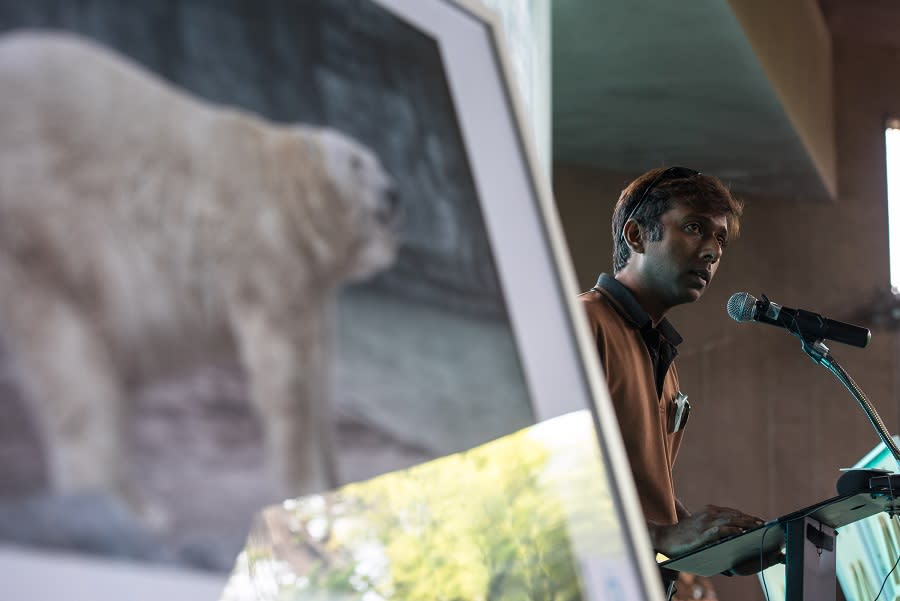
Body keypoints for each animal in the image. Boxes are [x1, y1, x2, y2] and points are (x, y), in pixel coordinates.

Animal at [0, 29, 398, 506]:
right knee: (71, 366)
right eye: (358, 163)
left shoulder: (309, 284)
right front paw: (308, 488)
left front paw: (340, 483)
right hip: (47, 231)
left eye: (376, 161)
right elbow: (286, 378)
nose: (394, 193)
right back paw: (121, 504)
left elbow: (318, 371)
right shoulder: (261, 245)